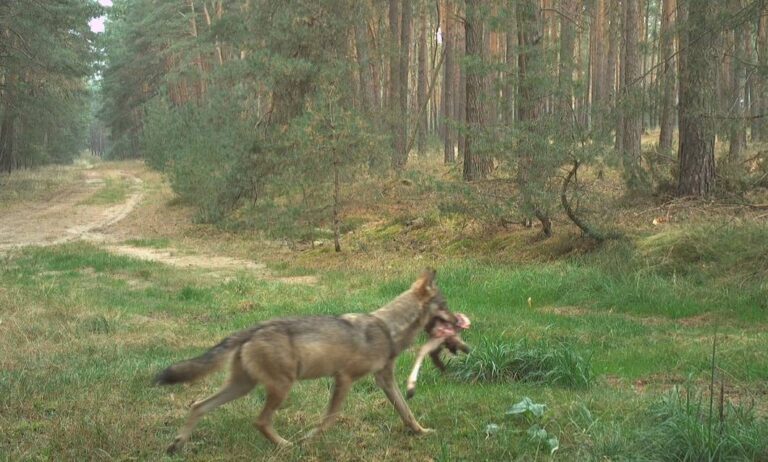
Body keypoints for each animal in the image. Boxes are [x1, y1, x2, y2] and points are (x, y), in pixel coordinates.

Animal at [154, 268, 459, 453]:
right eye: (445, 307)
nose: (460, 321)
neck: (388, 328)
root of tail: (253, 329)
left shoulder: (384, 380)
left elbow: (407, 412)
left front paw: (422, 432)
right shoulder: (344, 379)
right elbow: (329, 419)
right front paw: (310, 439)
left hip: (243, 387)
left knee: (198, 405)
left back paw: (176, 445)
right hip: (281, 387)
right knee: (260, 421)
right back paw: (286, 446)